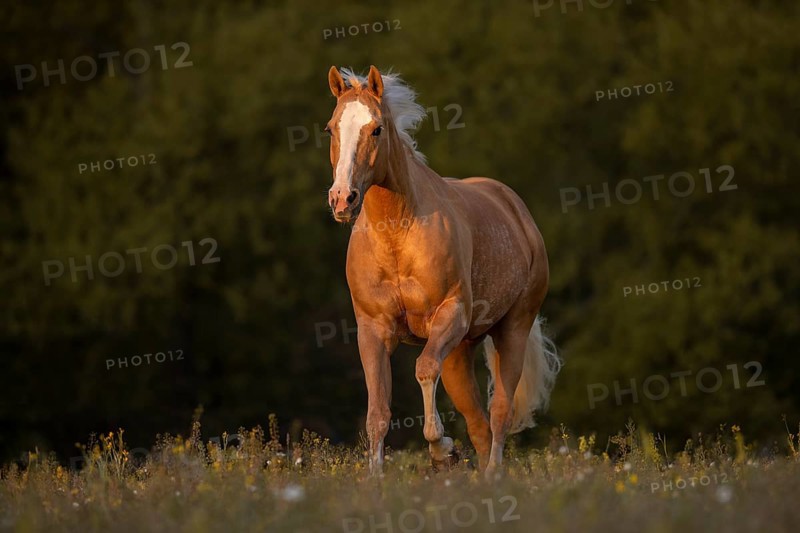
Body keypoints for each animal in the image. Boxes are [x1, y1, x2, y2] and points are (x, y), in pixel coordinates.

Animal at [325, 65, 562, 480]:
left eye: (376, 129)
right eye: (331, 129)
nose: (342, 199)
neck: (397, 234)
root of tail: (515, 209)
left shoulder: (450, 314)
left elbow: (422, 369)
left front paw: (442, 451)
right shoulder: (372, 330)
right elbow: (377, 412)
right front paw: (376, 480)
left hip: (511, 329)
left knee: (499, 414)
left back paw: (492, 476)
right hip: (460, 351)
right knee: (478, 424)